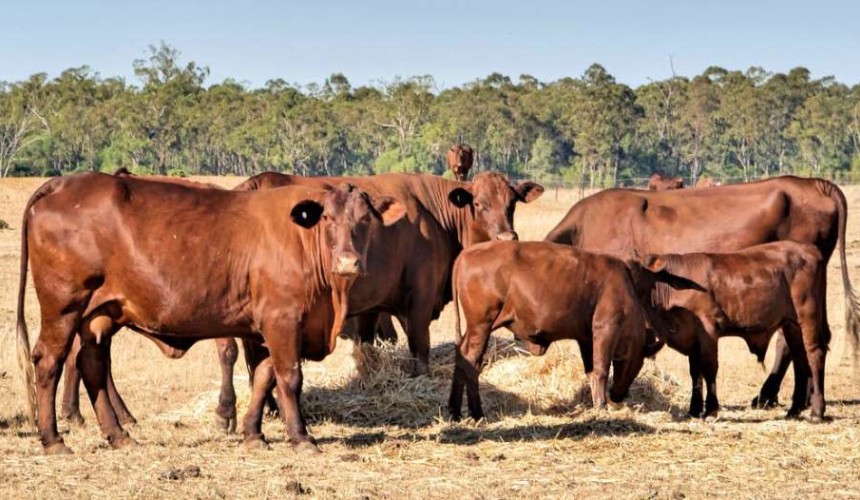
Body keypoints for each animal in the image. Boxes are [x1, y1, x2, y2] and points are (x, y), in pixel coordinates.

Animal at [16, 172, 406, 454]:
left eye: (366, 220)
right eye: (326, 217)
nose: (348, 261)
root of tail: (62, 183)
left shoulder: (264, 327)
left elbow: (263, 377)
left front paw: (253, 434)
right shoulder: (282, 319)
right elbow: (289, 378)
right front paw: (301, 437)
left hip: (100, 314)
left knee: (92, 363)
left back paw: (119, 435)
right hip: (64, 305)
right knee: (49, 361)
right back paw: (53, 440)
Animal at [448, 240, 661, 421]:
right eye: (639, 363)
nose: (619, 396)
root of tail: (468, 252)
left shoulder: (586, 338)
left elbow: (591, 370)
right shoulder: (605, 330)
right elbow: (601, 369)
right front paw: (601, 406)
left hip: (476, 328)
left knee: (461, 356)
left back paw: (455, 411)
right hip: (481, 325)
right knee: (471, 360)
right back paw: (477, 413)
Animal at [638, 241, 827, 420]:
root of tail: (809, 249)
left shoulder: (708, 329)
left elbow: (709, 368)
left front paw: (711, 410)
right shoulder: (691, 336)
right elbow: (695, 372)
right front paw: (694, 410)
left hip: (807, 315)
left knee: (815, 354)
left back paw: (817, 411)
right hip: (791, 324)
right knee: (799, 359)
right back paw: (794, 410)